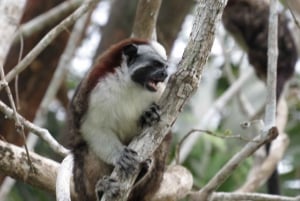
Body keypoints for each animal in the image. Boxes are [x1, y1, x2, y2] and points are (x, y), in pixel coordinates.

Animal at [67, 38, 171, 201]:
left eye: (165, 67)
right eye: (156, 64)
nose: (165, 74)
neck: (132, 84)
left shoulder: (160, 92)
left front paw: (148, 114)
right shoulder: (97, 90)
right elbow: (93, 127)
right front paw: (120, 155)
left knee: (160, 150)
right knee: (86, 152)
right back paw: (101, 189)